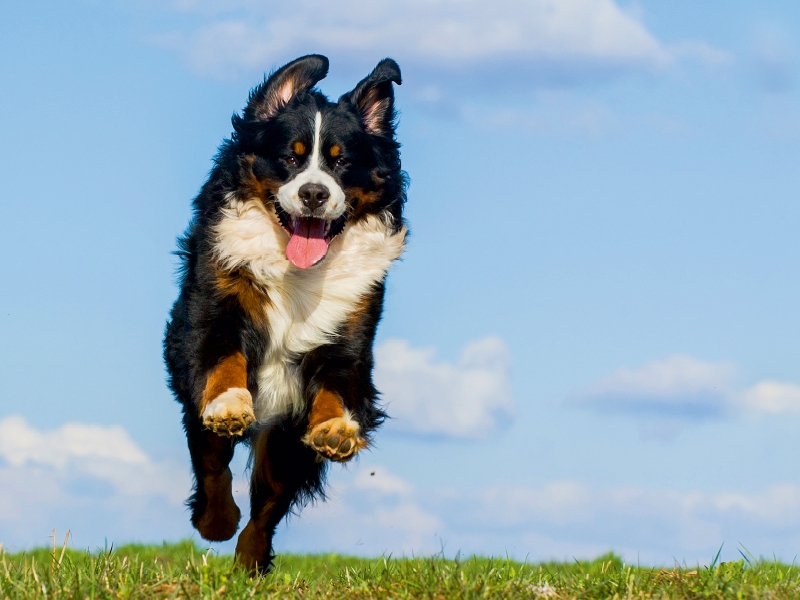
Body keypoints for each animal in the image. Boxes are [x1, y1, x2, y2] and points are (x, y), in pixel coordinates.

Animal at [166, 52, 410, 572]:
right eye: (291, 158)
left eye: (342, 163)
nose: (314, 194)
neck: (297, 272)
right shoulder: (212, 315)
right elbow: (223, 371)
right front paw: (229, 405)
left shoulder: (347, 338)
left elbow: (336, 388)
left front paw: (336, 429)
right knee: (214, 465)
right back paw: (217, 522)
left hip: (283, 444)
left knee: (267, 507)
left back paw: (249, 562)